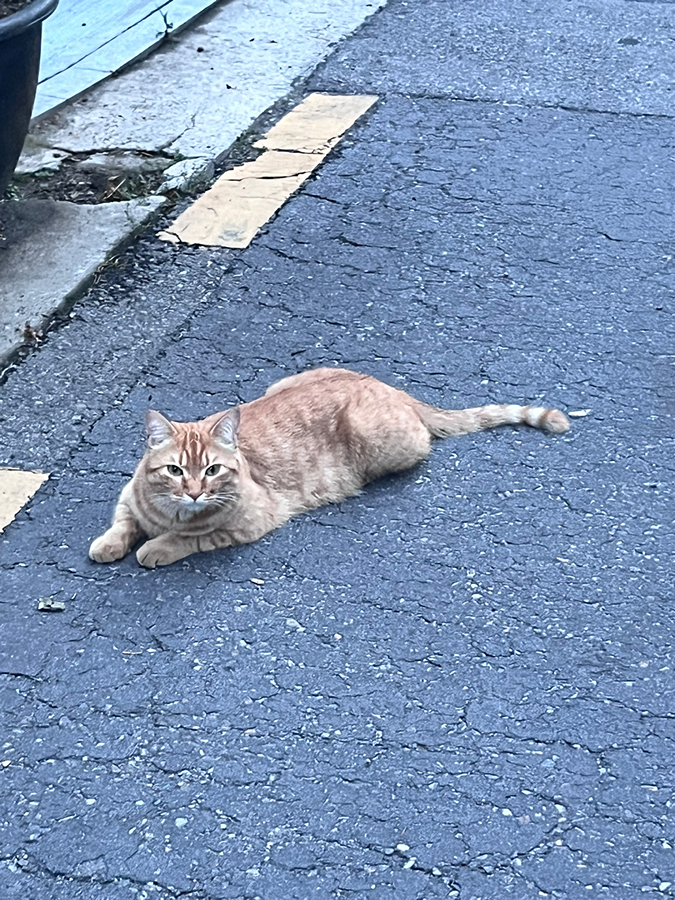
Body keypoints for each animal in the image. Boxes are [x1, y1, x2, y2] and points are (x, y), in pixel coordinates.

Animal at [87, 368, 568, 568]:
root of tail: (393, 388)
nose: (192, 492)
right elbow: (122, 523)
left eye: (211, 471)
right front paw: (109, 544)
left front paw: (157, 547)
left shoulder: (250, 522)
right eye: (174, 471)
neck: (171, 512)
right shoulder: (129, 498)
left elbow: (192, 538)